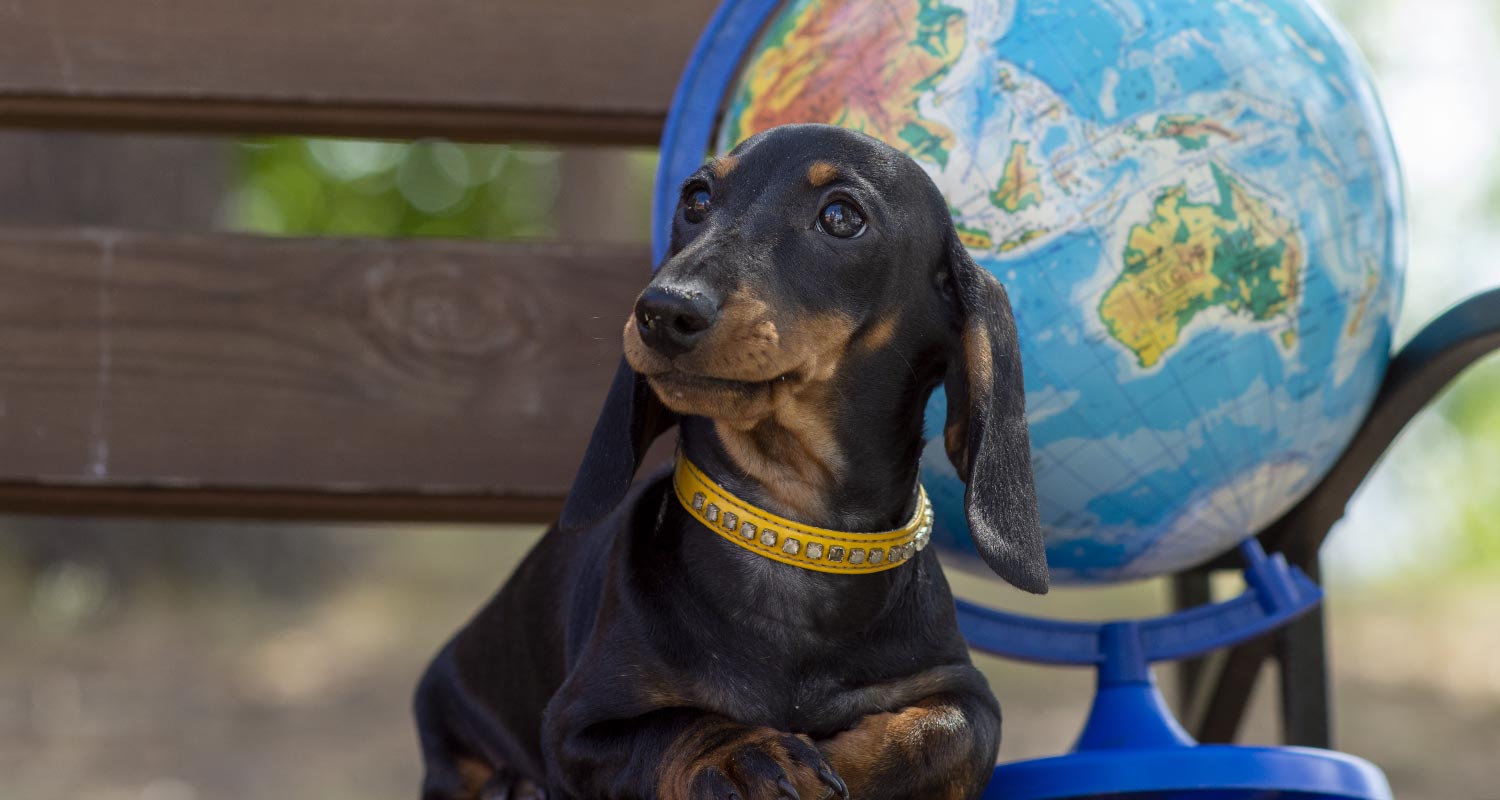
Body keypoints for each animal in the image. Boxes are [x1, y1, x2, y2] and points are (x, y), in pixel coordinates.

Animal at [417, 123, 1050, 798]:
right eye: (696, 200)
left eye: (842, 217)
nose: (663, 310)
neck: (792, 532)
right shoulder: (575, 725)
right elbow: (675, 726)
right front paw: (743, 755)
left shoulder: (964, 693)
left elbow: (945, 736)